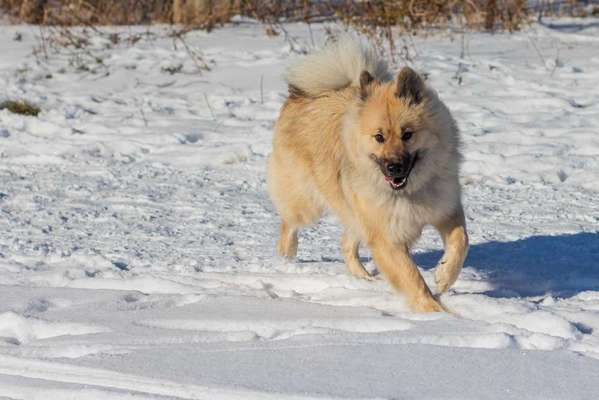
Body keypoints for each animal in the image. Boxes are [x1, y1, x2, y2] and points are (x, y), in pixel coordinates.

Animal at [268, 36, 468, 312]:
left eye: (407, 134)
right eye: (379, 137)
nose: (394, 168)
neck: (411, 190)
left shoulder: (446, 210)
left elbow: (461, 242)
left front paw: (444, 275)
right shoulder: (386, 237)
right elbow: (412, 278)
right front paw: (435, 312)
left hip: (354, 212)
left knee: (346, 243)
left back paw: (364, 279)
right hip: (308, 203)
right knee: (288, 225)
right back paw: (286, 261)